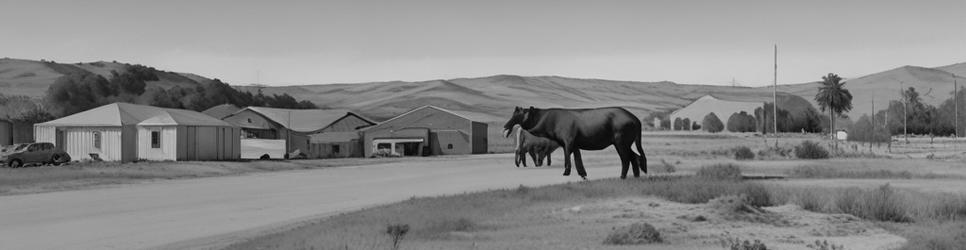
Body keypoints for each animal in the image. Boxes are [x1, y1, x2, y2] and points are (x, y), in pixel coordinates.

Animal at [502, 106, 648, 179]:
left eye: (518, 115)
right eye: (513, 113)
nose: (505, 126)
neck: (549, 121)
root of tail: (635, 119)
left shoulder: (568, 142)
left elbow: (568, 158)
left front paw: (566, 172)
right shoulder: (575, 144)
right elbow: (578, 160)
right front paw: (583, 174)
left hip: (620, 142)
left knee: (626, 159)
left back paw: (622, 176)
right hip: (625, 143)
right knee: (635, 157)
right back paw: (636, 176)